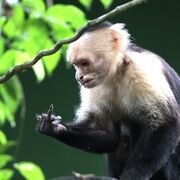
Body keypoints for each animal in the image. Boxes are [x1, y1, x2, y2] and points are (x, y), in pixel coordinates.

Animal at [36, 21, 180, 179]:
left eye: (84, 63)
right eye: (76, 64)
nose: (78, 77)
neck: (116, 71)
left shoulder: (141, 68)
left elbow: (165, 122)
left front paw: (132, 175)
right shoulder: (94, 87)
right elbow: (109, 137)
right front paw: (54, 128)